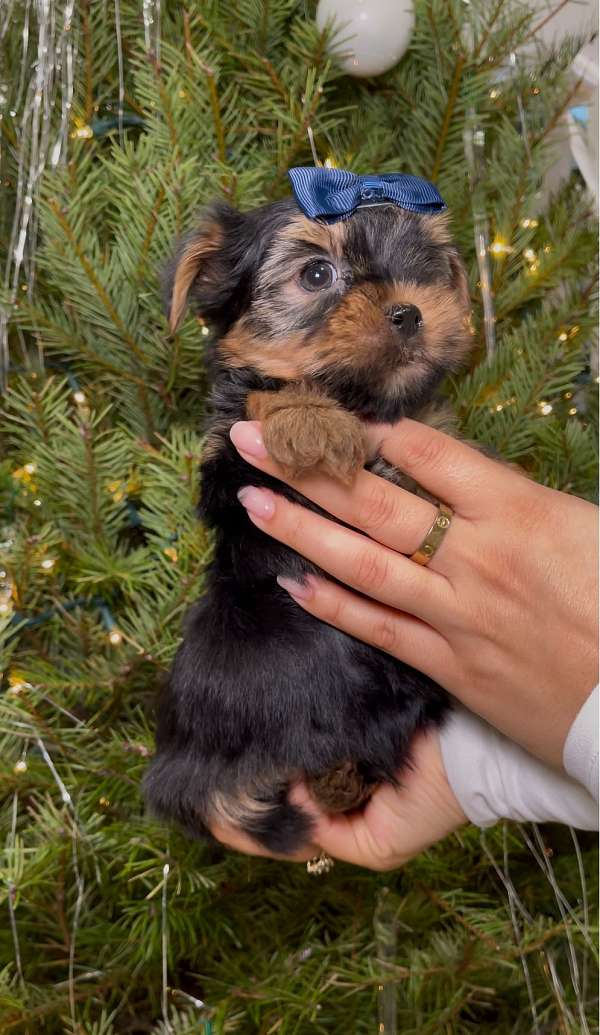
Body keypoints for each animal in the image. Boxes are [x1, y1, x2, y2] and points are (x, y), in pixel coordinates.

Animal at [142, 173, 471, 852]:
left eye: (426, 264)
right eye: (316, 274)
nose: (410, 311)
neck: (364, 404)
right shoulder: (236, 473)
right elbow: (262, 396)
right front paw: (309, 419)